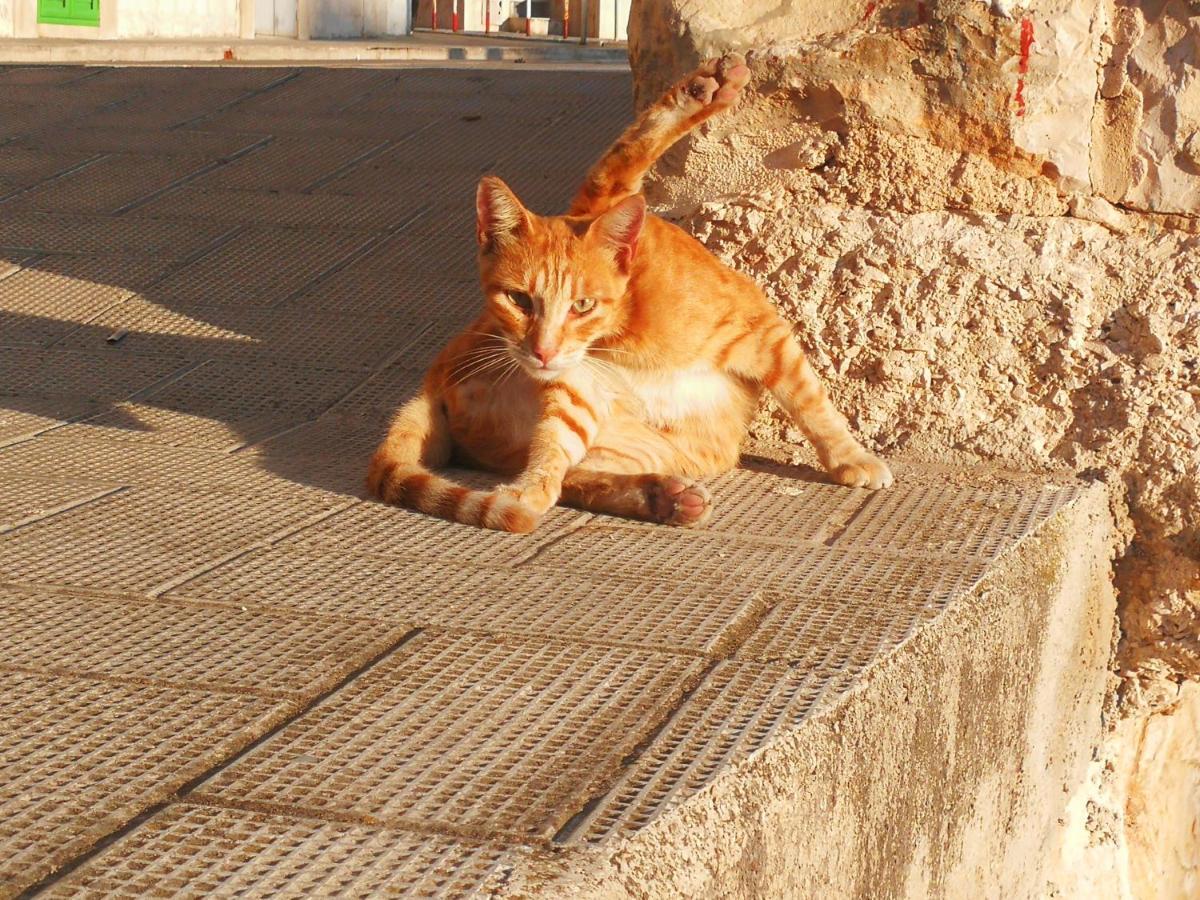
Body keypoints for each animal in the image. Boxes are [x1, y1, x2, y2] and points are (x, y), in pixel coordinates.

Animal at [369, 52, 897, 532]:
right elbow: (552, 451)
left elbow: (810, 401)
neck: (625, 330)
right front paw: (525, 494)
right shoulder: (575, 384)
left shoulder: (761, 331)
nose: (541, 352)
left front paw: (850, 457)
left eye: (582, 305)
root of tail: (433, 379)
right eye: (518, 300)